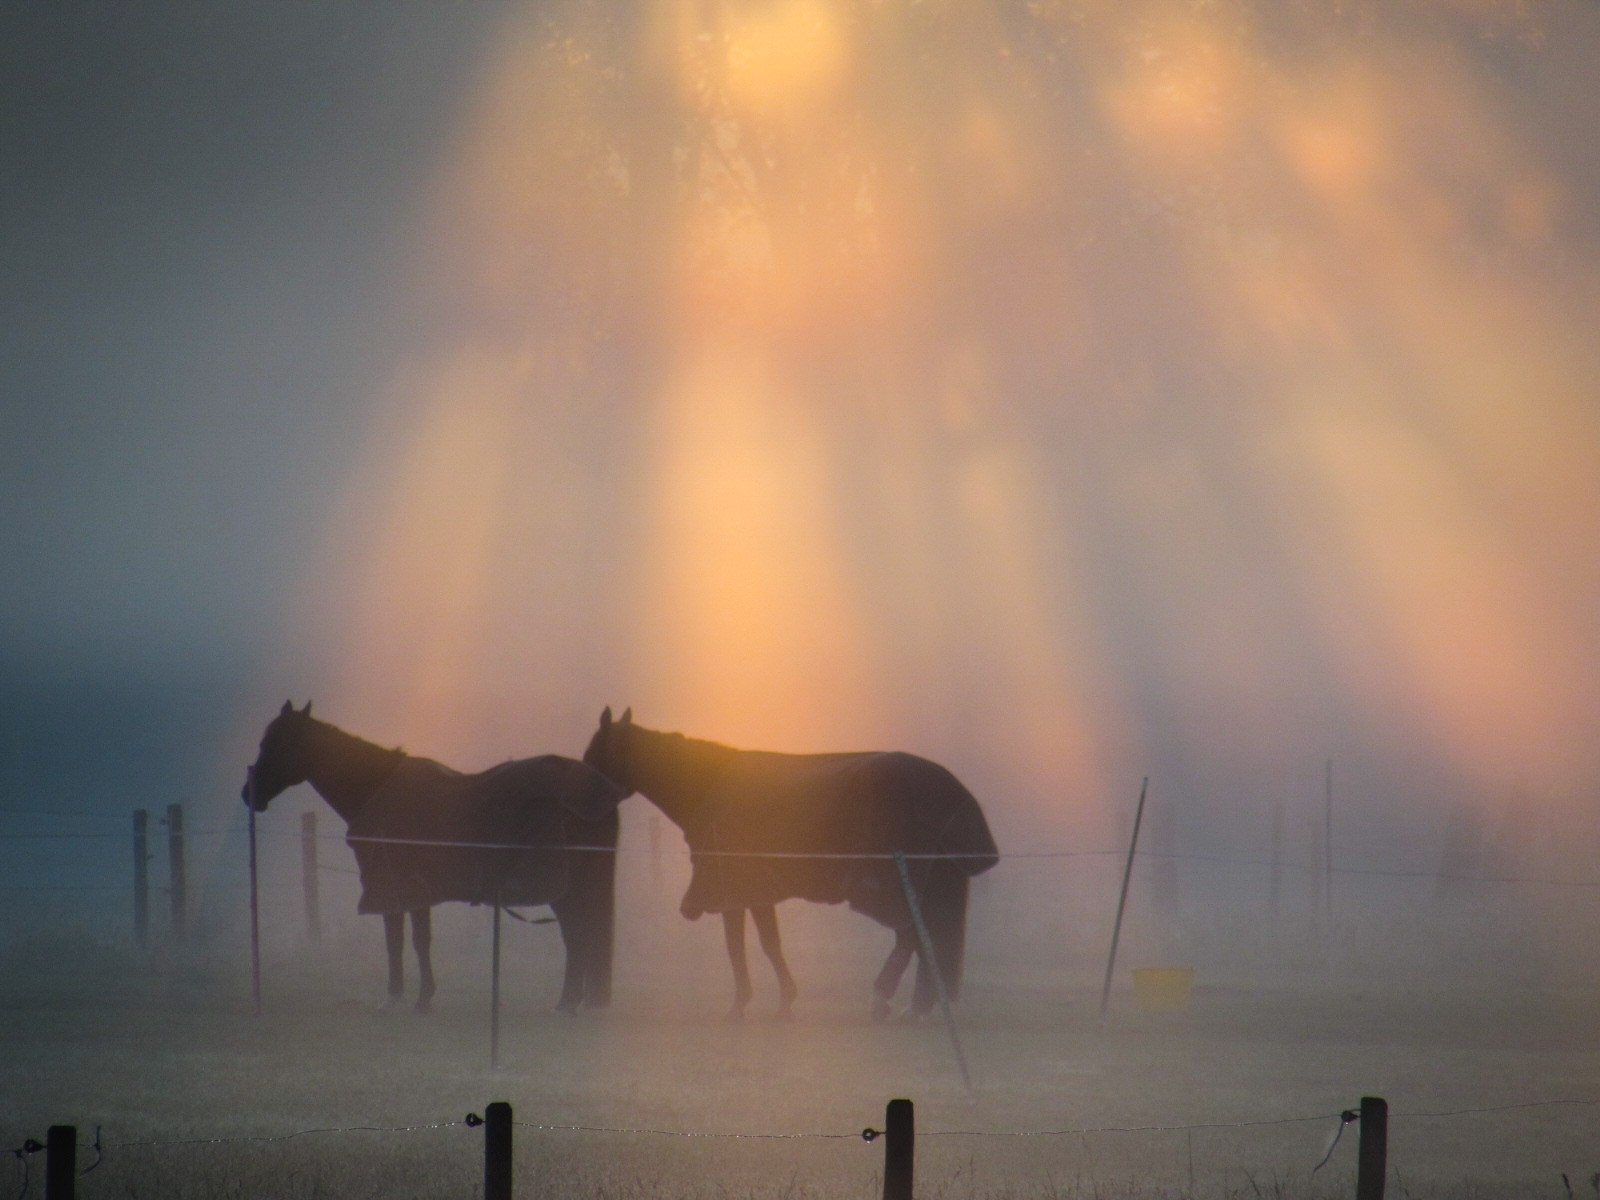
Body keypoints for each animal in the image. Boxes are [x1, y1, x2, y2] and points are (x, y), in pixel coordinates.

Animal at [243, 704, 624, 1017]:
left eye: (273, 743)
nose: (249, 794)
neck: (375, 787)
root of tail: (600, 793)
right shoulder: (407, 890)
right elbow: (411, 939)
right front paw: (414, 997)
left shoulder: (395, 886)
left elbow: (402, 939)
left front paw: (407, 998)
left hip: (568, 890)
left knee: (577, 934)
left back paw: (566, 1002)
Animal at [582, 710, 992, 1017]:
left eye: (594, 752)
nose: (587, 799)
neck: (710, 785)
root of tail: (950, 788)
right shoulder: (757, 892)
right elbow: (769, 942)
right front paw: (784, 999)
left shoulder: (731, 888)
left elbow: (737, 944)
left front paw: (742, 1003)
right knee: (926, 937)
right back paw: (919, 1004)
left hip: (893, 884)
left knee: (911, 934)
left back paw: (883, 997)